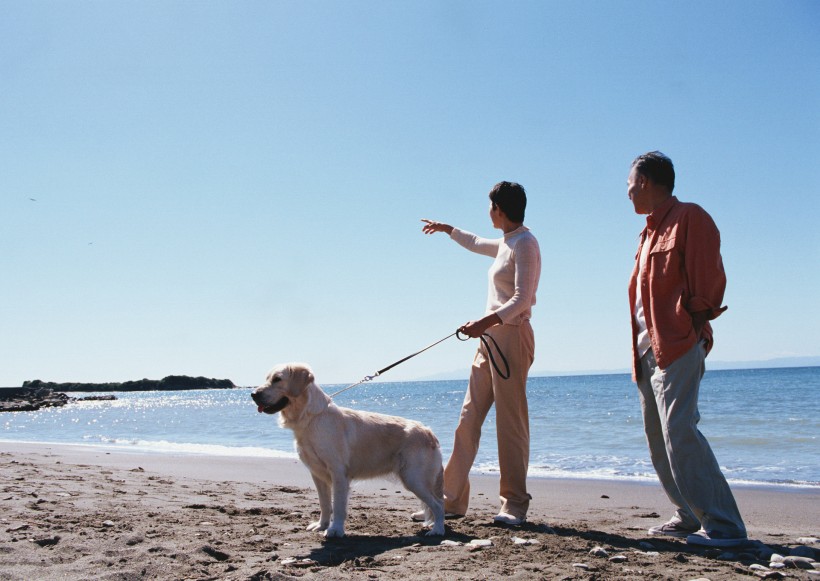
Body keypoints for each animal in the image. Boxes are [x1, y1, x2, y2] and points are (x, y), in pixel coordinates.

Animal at [253, 360, 446, 536]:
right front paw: (321, 525)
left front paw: (335, 530)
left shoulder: (338, 473)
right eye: (267, 378)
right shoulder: (317, 474)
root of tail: (429, 431)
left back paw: (437, 530)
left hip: (414, 478)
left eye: (277, 379)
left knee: (438, 504)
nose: (253, 394)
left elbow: (338, 506)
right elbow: (324, 504)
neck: (311, 418)